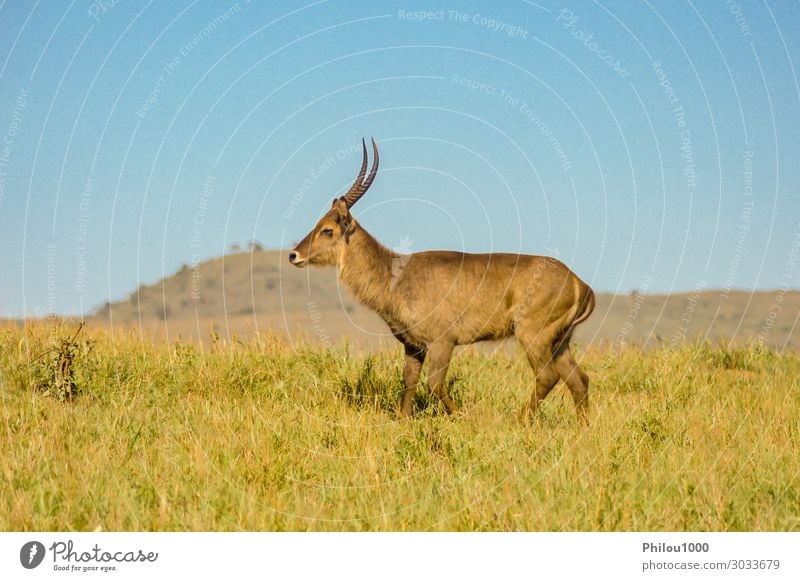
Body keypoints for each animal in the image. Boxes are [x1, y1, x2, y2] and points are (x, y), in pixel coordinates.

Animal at [290, 139, 592, 422]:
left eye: (327, 230)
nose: (294, 255)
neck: (395, 275)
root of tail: (580, 283)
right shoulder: (413, 346)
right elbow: (409, 382)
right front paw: (405, 421)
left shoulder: (442, 342)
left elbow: (434, 384)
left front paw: (463, 418)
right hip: (559, 342)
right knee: (579, 380)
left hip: (534, 336)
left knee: (547, 376)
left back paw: (519, 421)